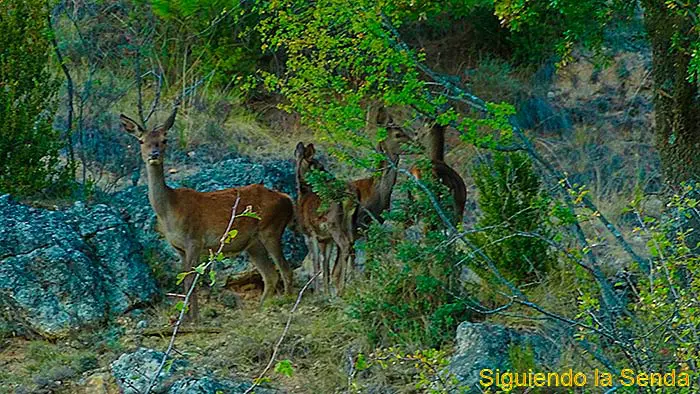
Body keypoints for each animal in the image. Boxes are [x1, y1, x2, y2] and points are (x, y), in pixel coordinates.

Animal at [119, 106, 292, 318]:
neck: (169, 212)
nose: (154, 154)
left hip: (271, 229)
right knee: (270, 274)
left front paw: (193, 318)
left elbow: (191, 279)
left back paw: (288, 300)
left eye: (164, 139)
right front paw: (188, 318)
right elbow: (185, 279)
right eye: (141, 140)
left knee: (285, 269)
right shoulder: (178, 247)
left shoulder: (195, 239)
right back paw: (262, 307)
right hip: (253, 243)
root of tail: (288, 200)